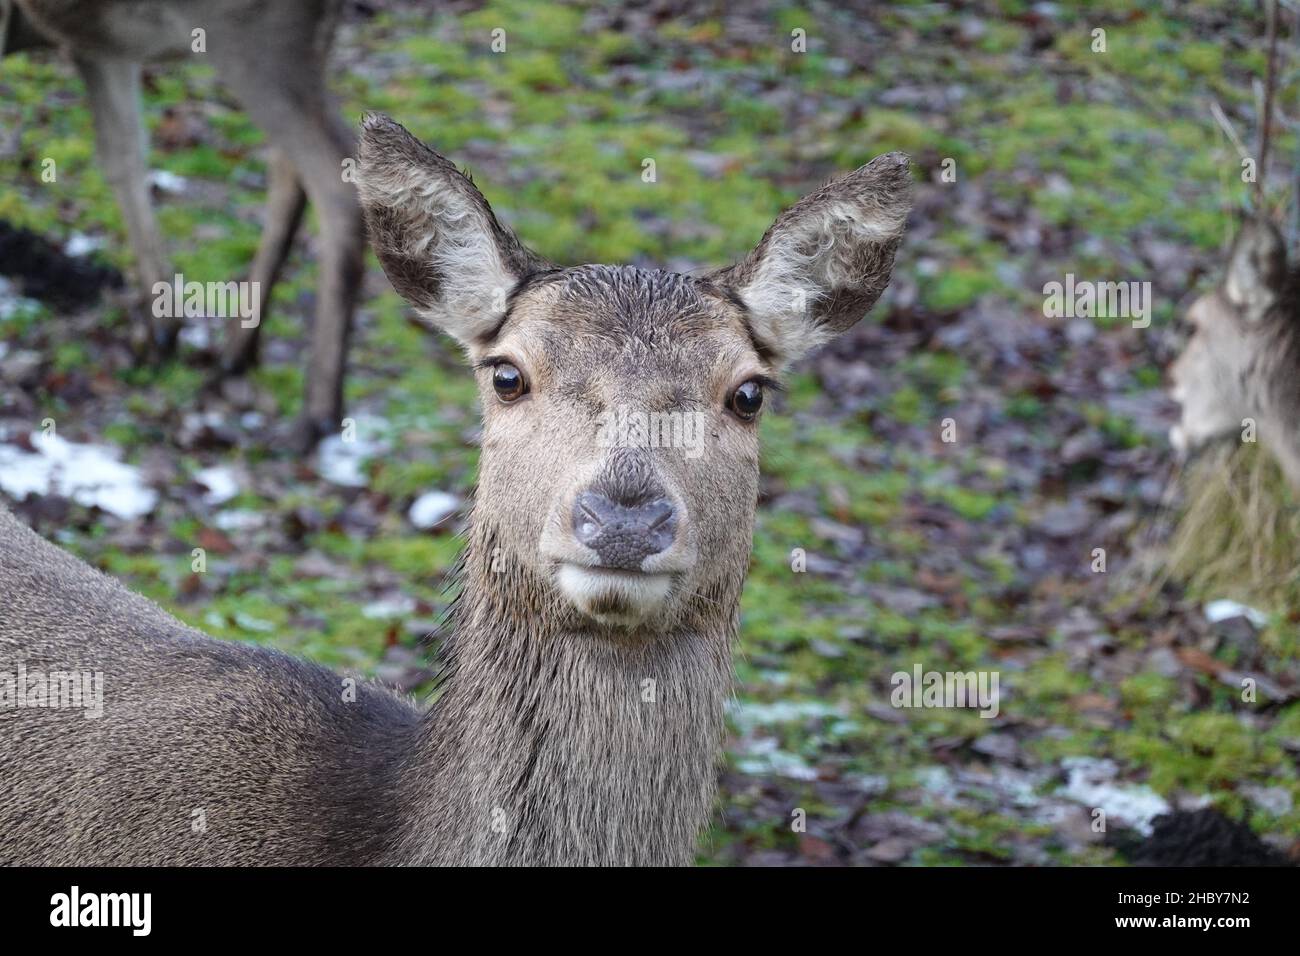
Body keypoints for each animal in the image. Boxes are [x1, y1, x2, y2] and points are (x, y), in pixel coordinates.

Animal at [3, 0, 366, 450]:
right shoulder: (98, 46)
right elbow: (122, 156)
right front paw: (162, 330)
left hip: (257, 35)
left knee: (333, 181)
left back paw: (315, 415)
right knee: (290, 169)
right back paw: (236, 352)